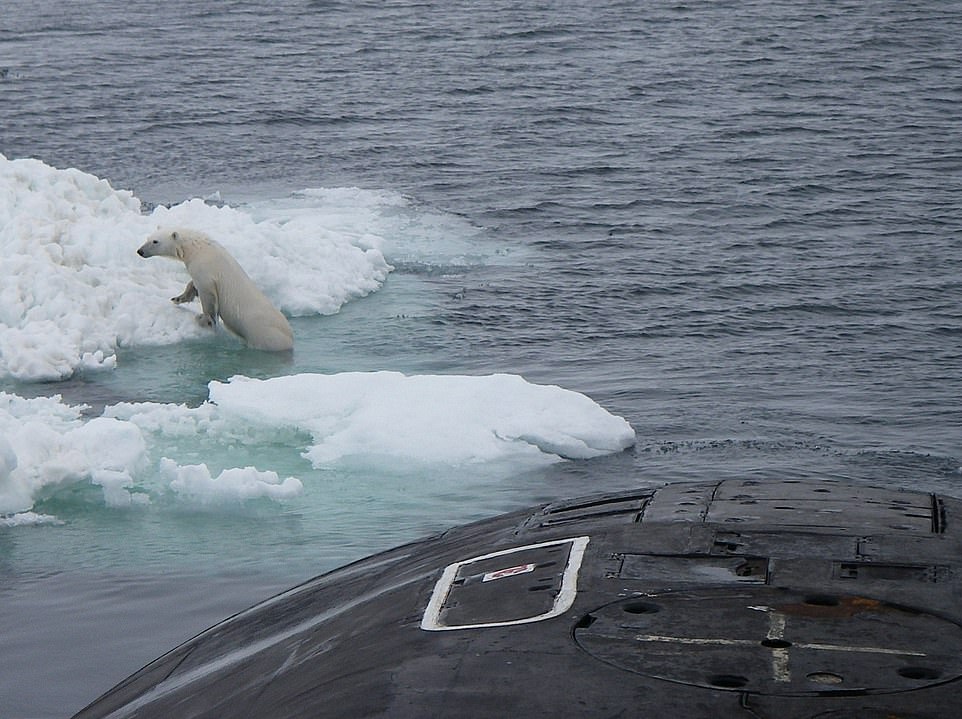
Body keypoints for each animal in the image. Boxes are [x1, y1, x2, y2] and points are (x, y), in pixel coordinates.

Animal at [137, 228, 294, 352]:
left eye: (155, 241)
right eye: (148, 238)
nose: (140, 251)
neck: (196, 248)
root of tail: (290, 339)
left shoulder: (205, 269)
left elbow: (208, 296)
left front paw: (204, 320)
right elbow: (193, 284)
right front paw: (177, 298)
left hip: (264, 333)